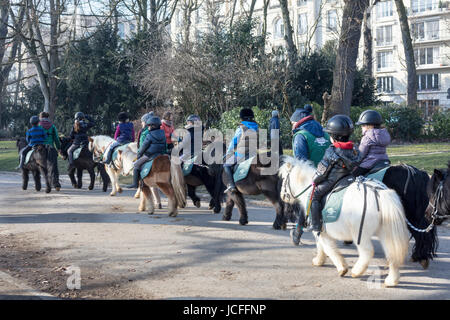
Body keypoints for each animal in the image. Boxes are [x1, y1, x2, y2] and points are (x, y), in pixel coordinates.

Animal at [278, 156, 412, 286]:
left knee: (367, 252)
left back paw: (356, 271)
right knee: (391, 254)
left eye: (284, 179)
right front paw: (319, 261)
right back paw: (391, 281)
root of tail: (380, 193)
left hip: (360, 234)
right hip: (386, 233)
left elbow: (328, 248)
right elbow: (322, 246)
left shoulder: (320, 231)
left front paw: (341, 268)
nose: (282, 196)